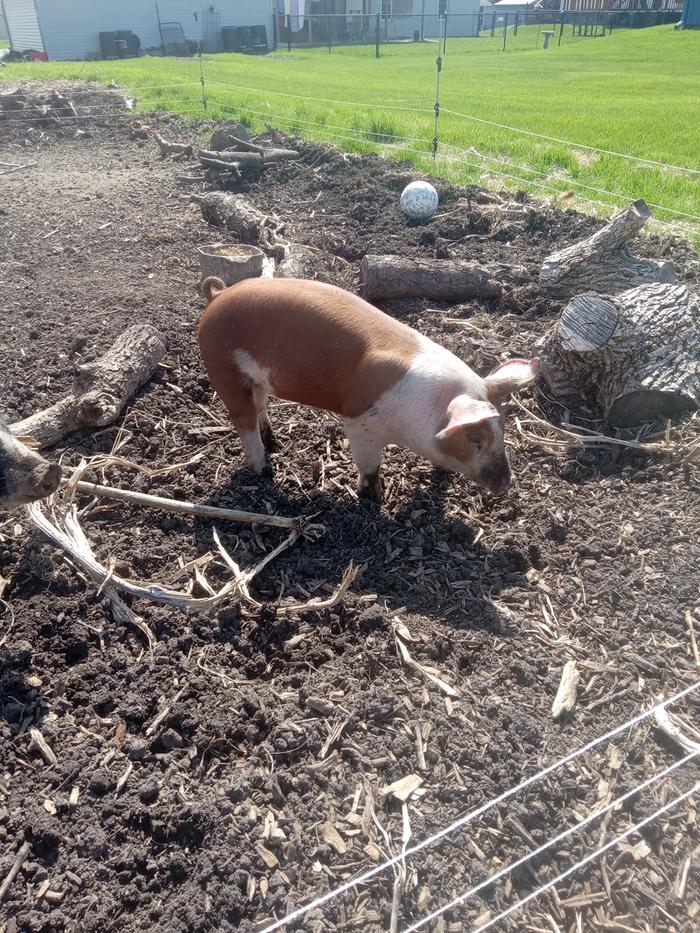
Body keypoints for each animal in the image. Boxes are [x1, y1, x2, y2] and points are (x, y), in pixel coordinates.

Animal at [197, 277, 539, 501]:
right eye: (476, 440)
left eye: (503, 431)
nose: (506, 484)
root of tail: (218, 295)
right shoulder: (360, 422)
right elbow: (369, 465)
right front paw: (375, 499)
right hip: (222, 370)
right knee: (243, 420)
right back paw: (265, 470)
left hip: (255, 381)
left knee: (260, 408)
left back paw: (276, 445)